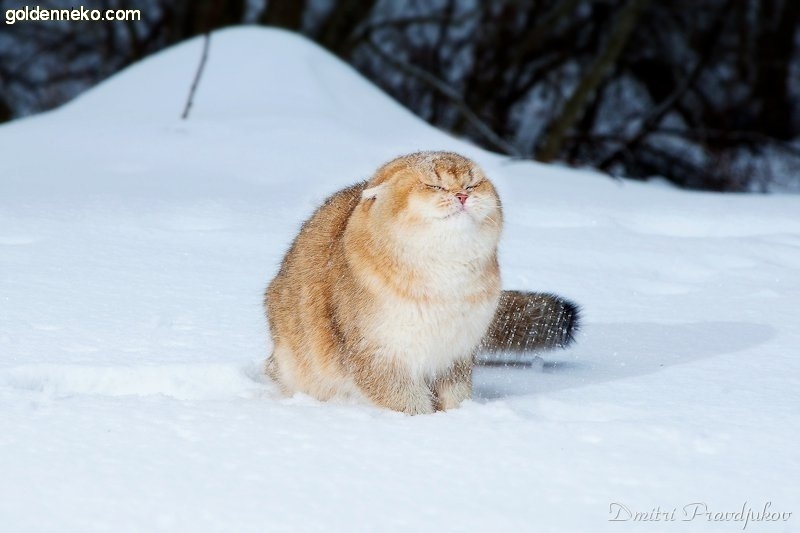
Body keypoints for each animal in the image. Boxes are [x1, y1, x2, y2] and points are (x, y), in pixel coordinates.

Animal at [266, 152, 580, 414]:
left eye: (472, 184)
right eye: (434, 185)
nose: (461, 196)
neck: (446, 276)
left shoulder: (455, 355)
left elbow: (455, 396)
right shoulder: (378, 355)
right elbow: (407, 402)